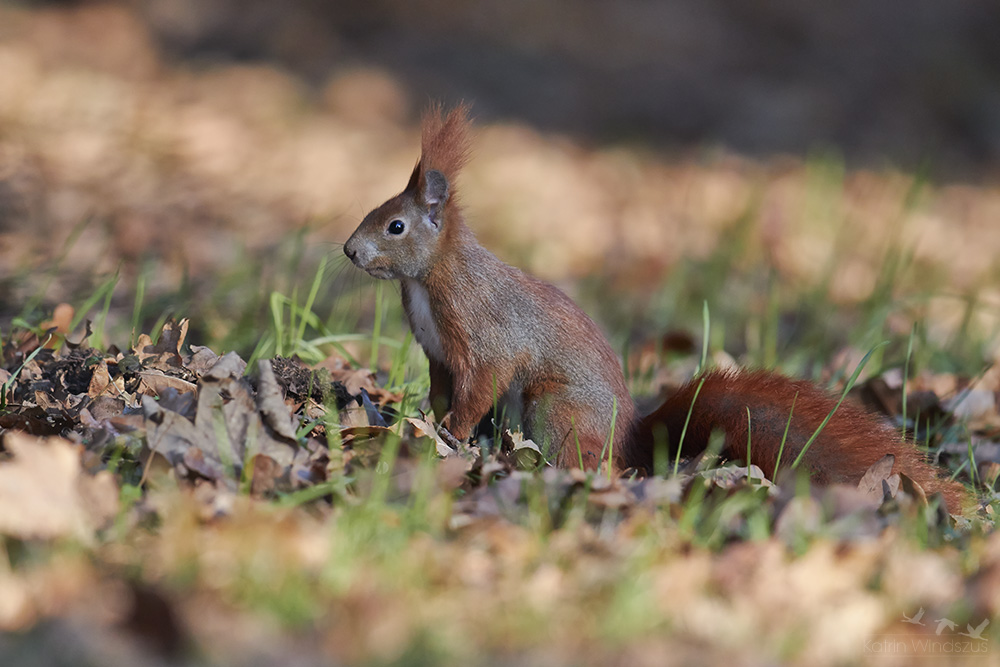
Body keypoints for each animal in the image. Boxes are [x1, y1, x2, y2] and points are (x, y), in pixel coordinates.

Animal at [344, 103, 968, 512]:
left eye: (395, 225)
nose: (350, 251)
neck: (430, 279)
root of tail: (632, 440)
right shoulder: (439, 354)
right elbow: (442, 388)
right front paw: (425, 423)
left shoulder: (485, 333)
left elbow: (481, 385)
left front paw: (451, 432)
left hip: (556, 409)